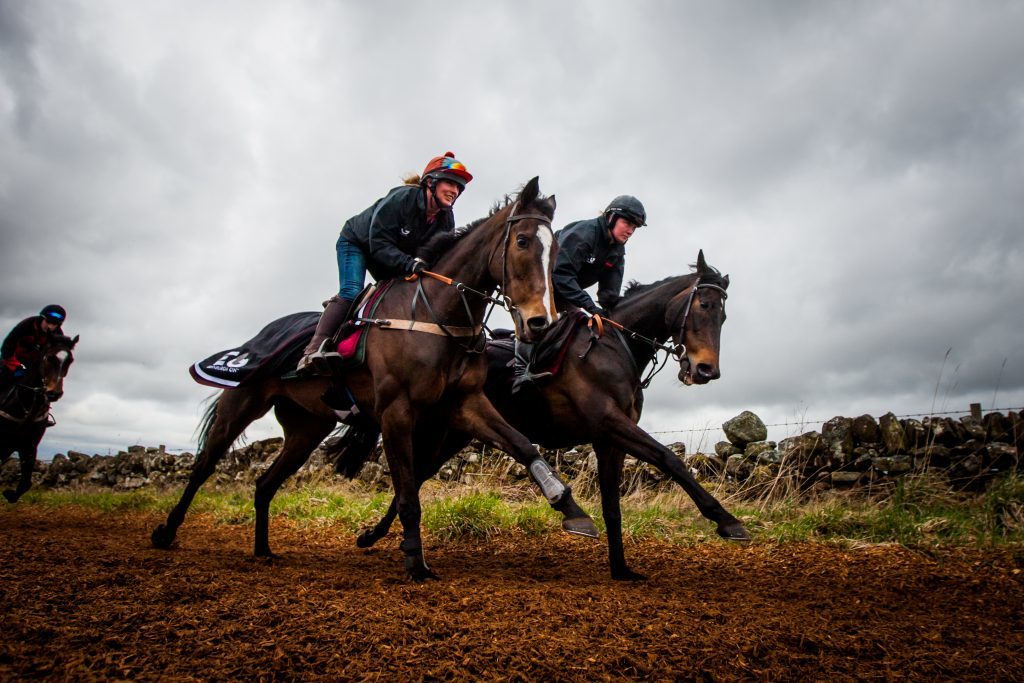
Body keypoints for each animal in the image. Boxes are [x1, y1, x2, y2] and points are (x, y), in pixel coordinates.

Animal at [1, 335, 78, 501]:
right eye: (49, 358)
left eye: (70, 360)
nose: (54, 393)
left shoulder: (29, 447)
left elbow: (25, 484)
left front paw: (8, 493)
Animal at [154, 178, 598, 581]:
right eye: (522, 241)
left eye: (557, 251)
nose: (540, 323)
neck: (436, 314)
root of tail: (263, 332)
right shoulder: (396, 410)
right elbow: (407, 493)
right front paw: (415, 561)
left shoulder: (466, 403)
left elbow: (523, 445)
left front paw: (571, 509)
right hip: (243, 401)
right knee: (204, 466)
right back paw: (166, 532)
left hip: (307, 428)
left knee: (264, 483)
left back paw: (263, 549)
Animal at [339, 250, 749, 581]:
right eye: (704, 306)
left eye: (725, 314)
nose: (706, 370)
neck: (617, 347)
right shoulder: (609, 422)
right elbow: (670, 460)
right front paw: (728, 521)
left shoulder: (608, 441)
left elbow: (613, 507)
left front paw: (621, 569)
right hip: (435, 429)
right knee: (409, 477)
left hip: (456, 435)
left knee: (416, 477)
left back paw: (374, 536)